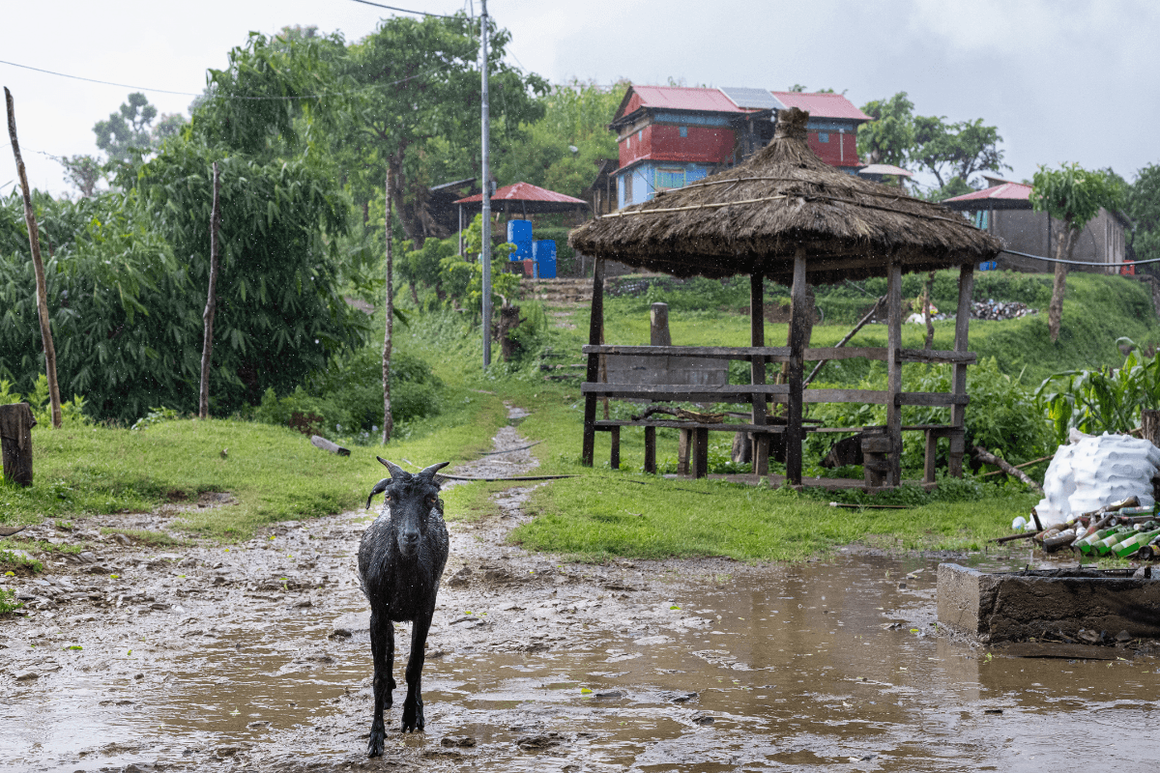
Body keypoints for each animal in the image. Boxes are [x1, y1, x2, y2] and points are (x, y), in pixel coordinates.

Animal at [359, 457, 450, 757]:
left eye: (430, 498)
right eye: (389, 496)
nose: (410, 537)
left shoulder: (425, 610)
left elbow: (415, 665)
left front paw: (410, 716)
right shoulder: (378, 612)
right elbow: (378, 675)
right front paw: (376, 738)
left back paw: (417, 711)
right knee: (389, 647)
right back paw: (388, 696)